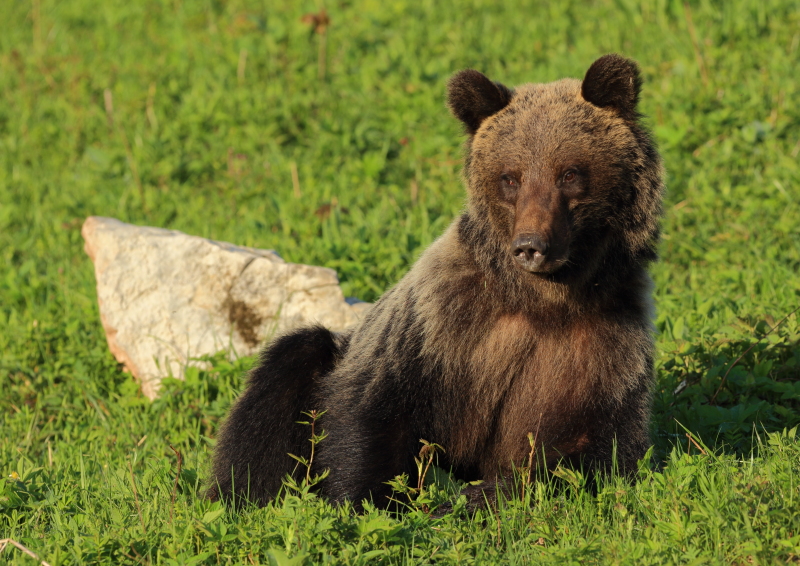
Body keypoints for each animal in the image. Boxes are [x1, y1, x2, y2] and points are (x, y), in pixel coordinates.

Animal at [206, 55, 664, 512]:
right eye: (510, 177)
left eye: (568, 173)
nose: (531, 245)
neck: (544, 300)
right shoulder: (440, 324)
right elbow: (373, 412)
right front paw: (370, 502)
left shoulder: (606, 345)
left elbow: (595, 451)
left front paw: (482, 495)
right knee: (283, 380)